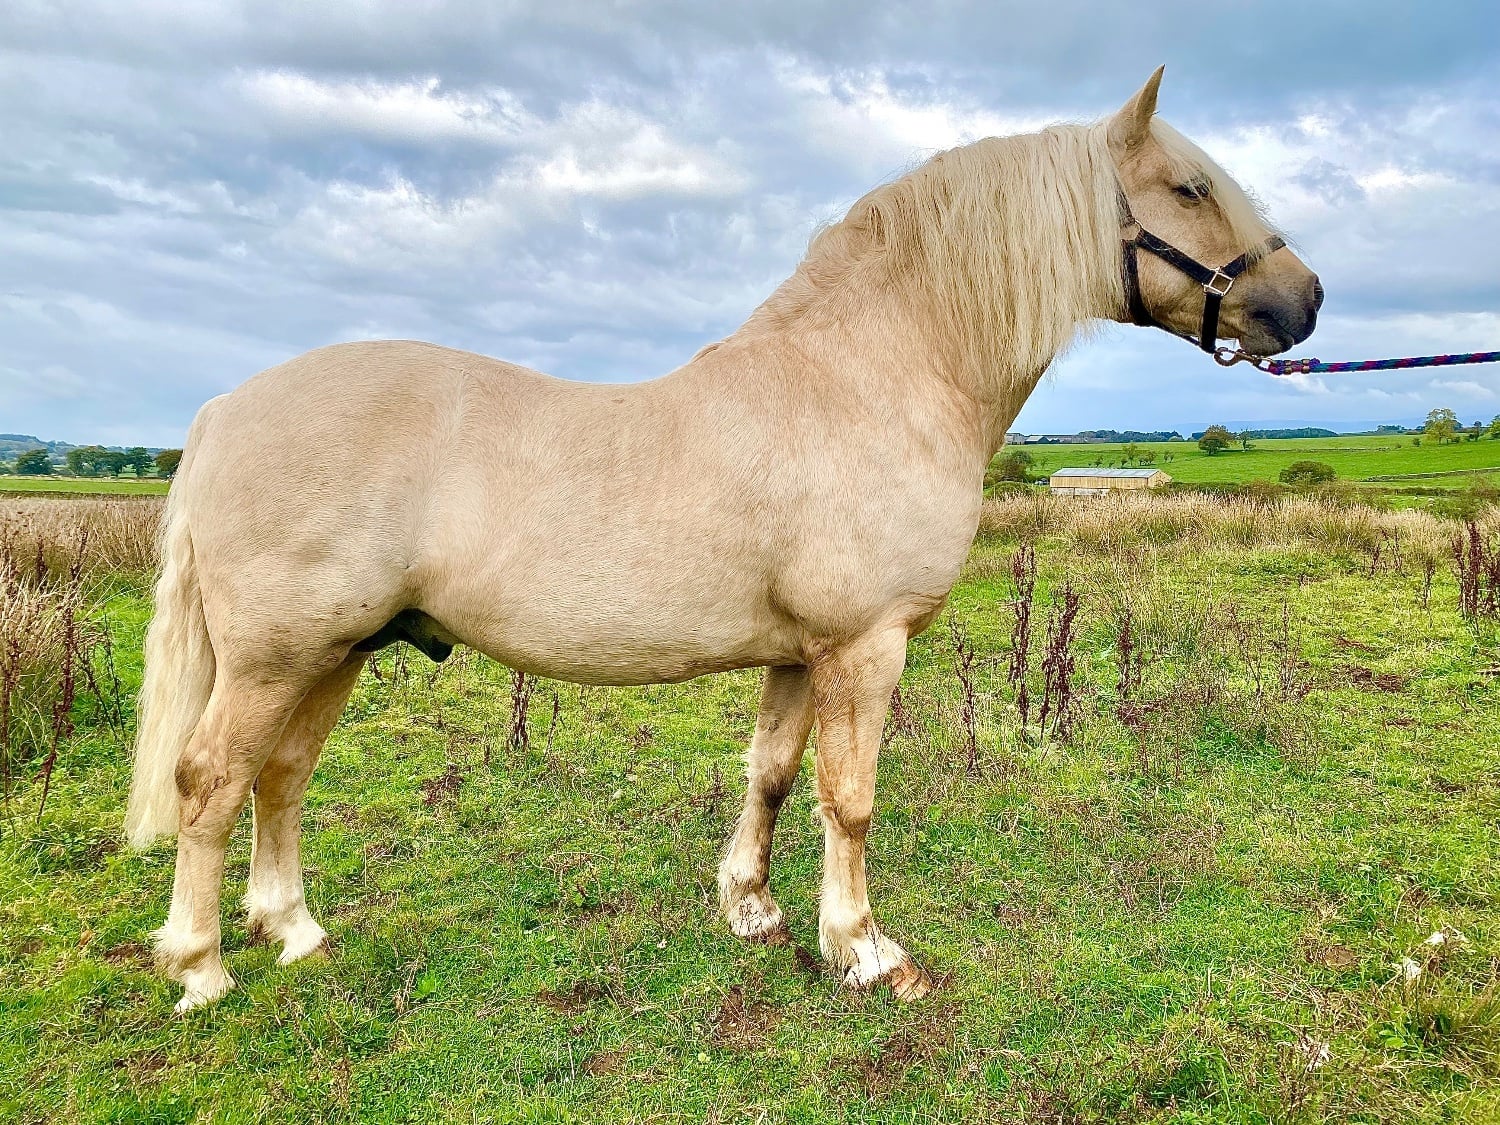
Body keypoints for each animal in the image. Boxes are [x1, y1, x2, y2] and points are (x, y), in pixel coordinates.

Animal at [125, 67, 1320, 1012]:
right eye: (1190, 187)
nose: (1303, 300)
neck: (872, 379)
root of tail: (224, 411)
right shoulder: (865, 647)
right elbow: (851, 798)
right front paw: (866, 950)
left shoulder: (800, 654)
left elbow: (774, 775)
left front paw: (752, 909)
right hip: (277, 657)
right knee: (210, 781)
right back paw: (200, 966)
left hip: (331, 653)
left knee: (278, 779)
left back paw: (297, 933)